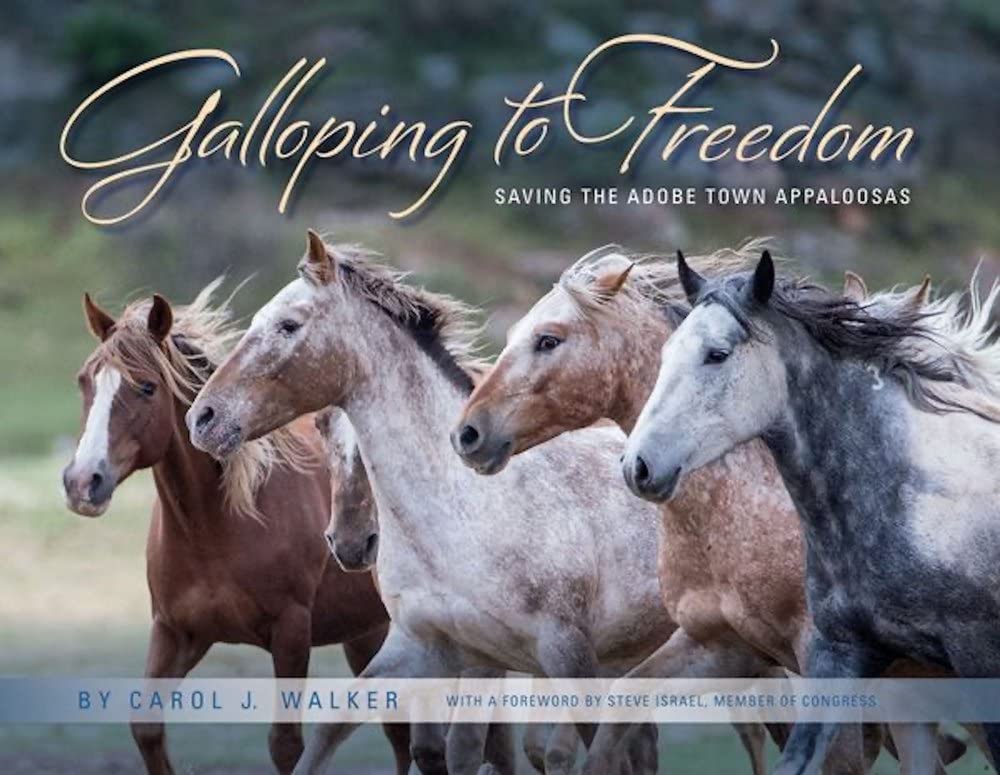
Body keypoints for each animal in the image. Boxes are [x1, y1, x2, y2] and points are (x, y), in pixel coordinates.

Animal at [61, 281, 410, 775]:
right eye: (84, 381)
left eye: (147, 387)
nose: (81, 482)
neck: (214, 528)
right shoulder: (176, 632)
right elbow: (146, 727)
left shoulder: (291, 632)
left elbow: (285, 745)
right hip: (367, 634)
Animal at [185, 230, 679, 774]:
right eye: (322, 428)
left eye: (288, 325)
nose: (203, 418)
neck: (465, 515)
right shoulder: (425, 648)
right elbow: (336, 729)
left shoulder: (563, 655)